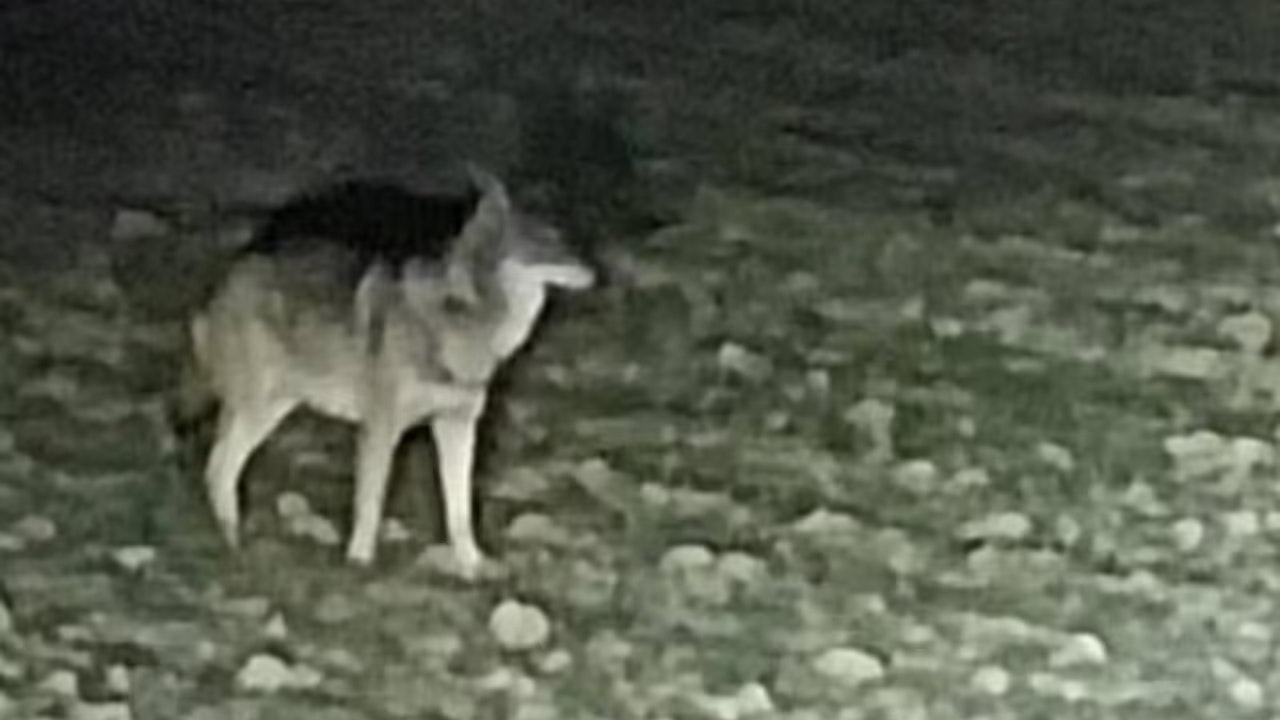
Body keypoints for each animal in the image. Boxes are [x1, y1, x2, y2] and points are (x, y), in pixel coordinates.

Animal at [182, 166, 595, 575]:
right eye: (545, 240)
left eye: (563, 236)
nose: (593, 273)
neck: (463, 312)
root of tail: (224, 283)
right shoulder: (381, 428)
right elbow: (370, 504)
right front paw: (359, 564)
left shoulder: (457, 425)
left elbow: (460, 512)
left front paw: (472, 567)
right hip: (258, 408)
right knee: (219, 468)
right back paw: (233, 549)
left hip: (274, 408)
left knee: (217, 467)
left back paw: (233, 546)